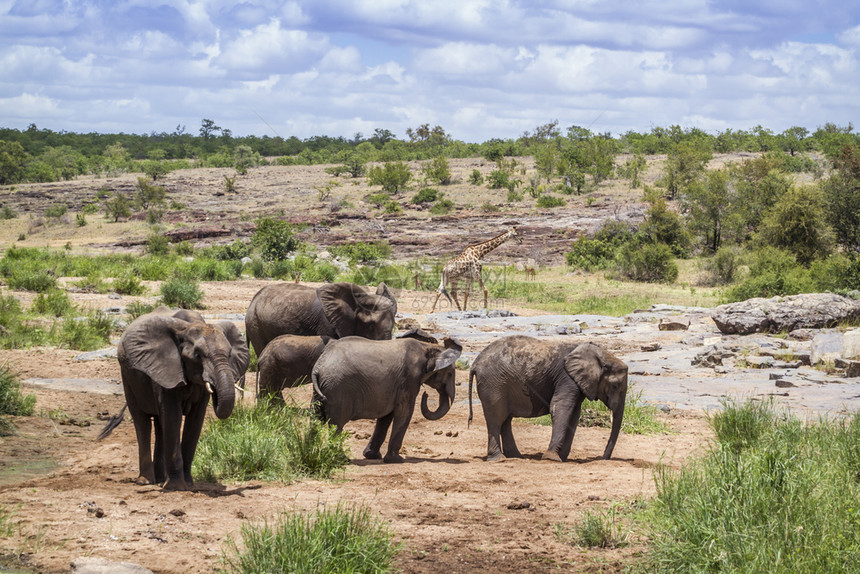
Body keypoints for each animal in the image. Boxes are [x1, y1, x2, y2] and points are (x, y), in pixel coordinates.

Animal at [100, 308, 252, 492]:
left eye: (229, 355)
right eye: (197, 355)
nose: (215, 389)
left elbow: (195, 420)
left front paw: (189, 485)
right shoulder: (166, 368)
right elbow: (173, 416)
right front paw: (177, 487)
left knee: (160, 425)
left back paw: (160, 480)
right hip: (127, 376)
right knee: (142, 422)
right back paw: (145, 481)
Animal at [312, 330, 464, 466]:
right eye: (450, 373)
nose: (425, 394)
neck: (427, 347)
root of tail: (318, 368)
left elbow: (386, 416)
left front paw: (372, 456)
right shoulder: (409, 380)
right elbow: (404, 412)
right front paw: (397, 460)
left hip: (322, 389)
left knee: (314, 417)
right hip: (339, 389)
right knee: (337, 425)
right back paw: (343, 459)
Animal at [466, 338, 628, 464]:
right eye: (615, 386)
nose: (603, 458)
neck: (600, 354)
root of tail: (475, 364)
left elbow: (574, 414)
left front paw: (562, 458)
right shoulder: (566, 378)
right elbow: (560, 408)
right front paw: (552, 458)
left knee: (505, 420)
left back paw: (516, 457)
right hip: (493, 383)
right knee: (496, 418)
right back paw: (499, 459)